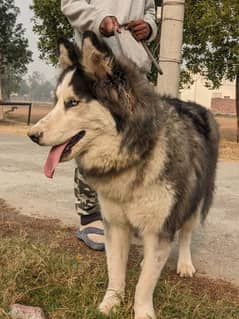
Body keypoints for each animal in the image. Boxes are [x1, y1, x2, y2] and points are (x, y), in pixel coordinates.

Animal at [27, 31, 218, 319]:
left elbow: (144, 285)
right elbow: (115, 272)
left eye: (73, 102)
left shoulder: (160, 227)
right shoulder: (115, 225)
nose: (32, 135)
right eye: (56, 101)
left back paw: (184, 263)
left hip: (195, 199)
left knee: (185, 233)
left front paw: (142, 312)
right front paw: (109, 305)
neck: (135, 154)